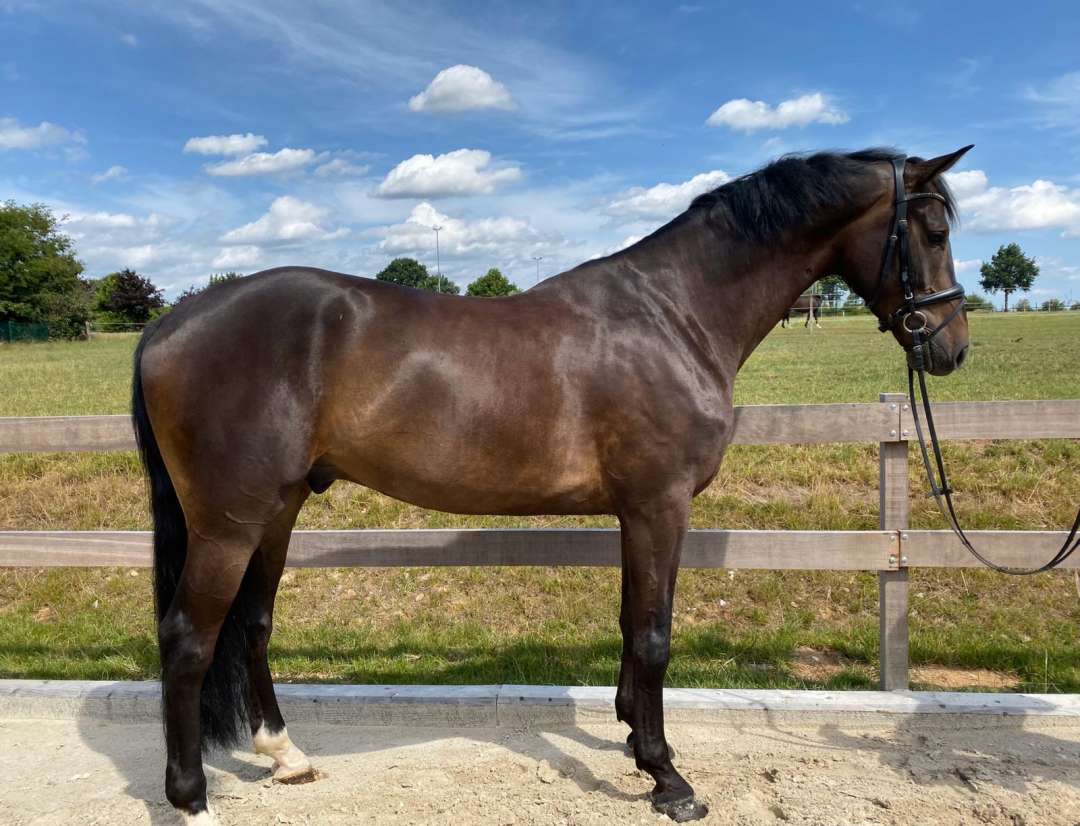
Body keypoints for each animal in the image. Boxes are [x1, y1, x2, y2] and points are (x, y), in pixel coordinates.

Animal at [132, 146, 972, 824]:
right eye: (933, 232)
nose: (952, 348)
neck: (672, 315)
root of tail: (174, 321)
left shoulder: (638, 512)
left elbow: (633, 626)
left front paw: (637, 739)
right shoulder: (659, 505)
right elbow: (655, 634)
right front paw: (668, 779)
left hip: (276, 510)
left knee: (251, 625)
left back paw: (286, 756)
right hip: (227, 523)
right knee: (188, 638)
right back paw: (193, 800)